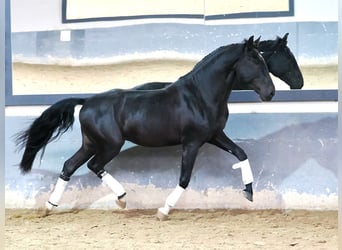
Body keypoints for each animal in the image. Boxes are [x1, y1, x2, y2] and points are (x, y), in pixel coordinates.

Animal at [15, 36, 276, 220]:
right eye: (255, 61)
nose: (270, 93)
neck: (200, 95)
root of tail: (87, 101)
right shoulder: (192, 142)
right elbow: (184, 179)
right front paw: (163, 211)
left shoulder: (215, 135)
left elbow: (241, 154)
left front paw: (249, 192)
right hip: (110, 145)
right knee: (94, 165)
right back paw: (121, 198)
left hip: (90, 143)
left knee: (70, 166)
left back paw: (51, 207)